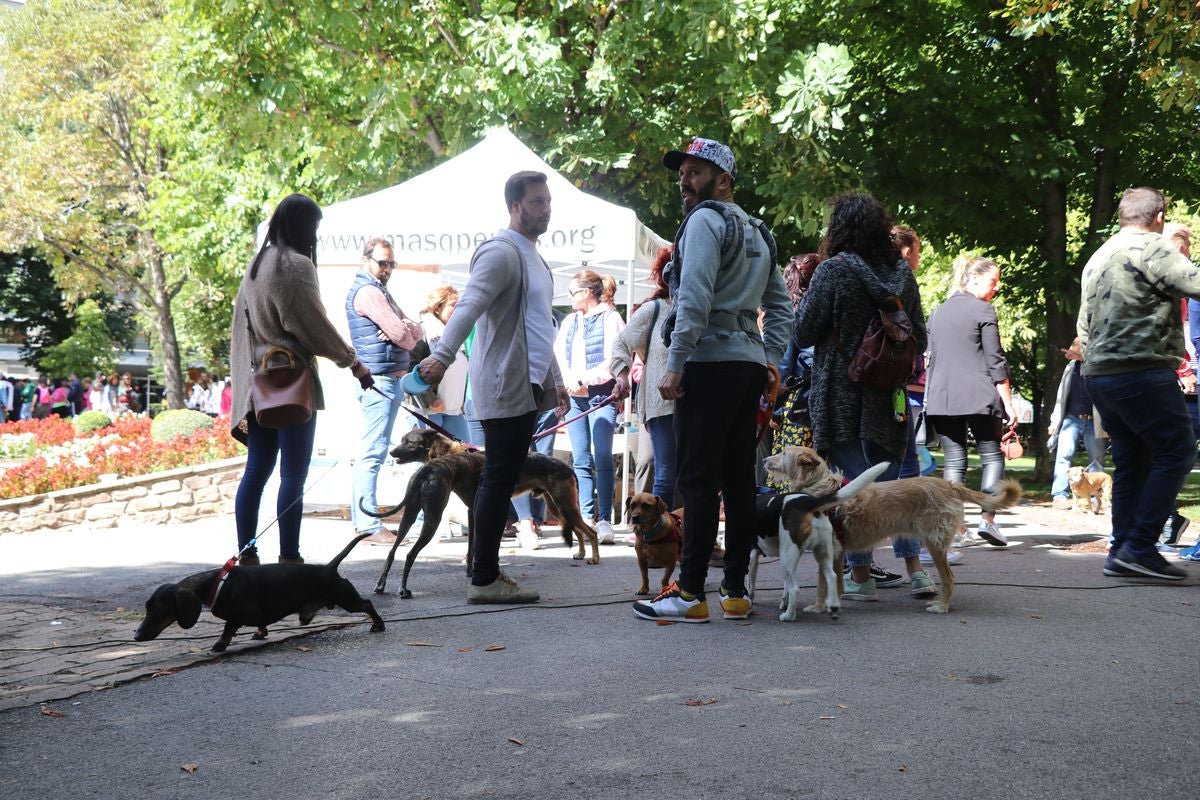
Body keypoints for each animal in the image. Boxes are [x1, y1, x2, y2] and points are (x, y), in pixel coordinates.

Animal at [768, 443, 1022, 614]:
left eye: (783, 453)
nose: (764, 460)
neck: (821, 489)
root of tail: (949, 484)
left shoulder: (829, 551)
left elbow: (822, 584)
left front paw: (818, 607)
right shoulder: (837, 553)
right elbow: (833, 582)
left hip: (934, 543)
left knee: (949, 577)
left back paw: (941, 606)